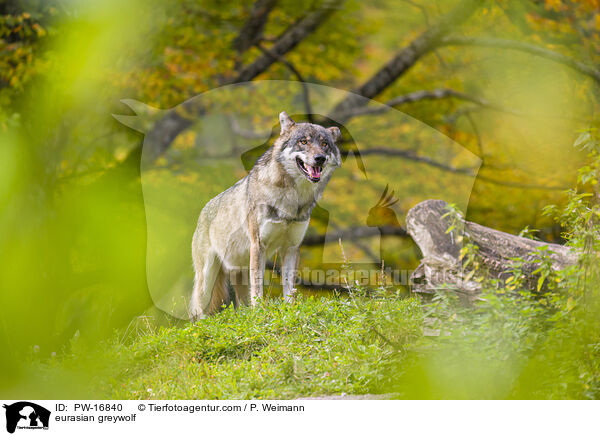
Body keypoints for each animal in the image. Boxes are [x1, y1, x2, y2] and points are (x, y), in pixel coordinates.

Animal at [190, 110, 340, 318]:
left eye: (325, 144)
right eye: (303, 141)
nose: (320, 158)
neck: (292, 198)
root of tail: (202, 212)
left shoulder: (292, 247)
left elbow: (289, 288)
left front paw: (290, 310)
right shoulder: (258, 245)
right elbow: (258, 287)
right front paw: (260, 311)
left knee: (241, 304)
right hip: (207, 278)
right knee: (198, 310)